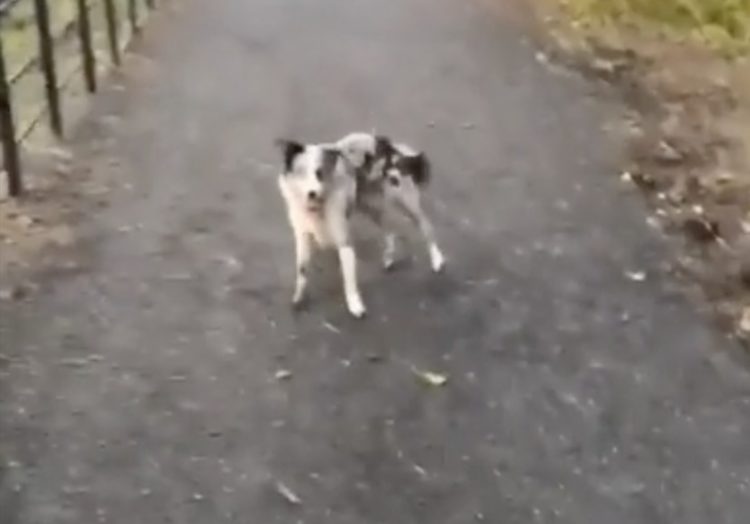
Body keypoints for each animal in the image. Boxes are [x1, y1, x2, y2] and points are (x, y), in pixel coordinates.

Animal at [275, 133, 445, 318]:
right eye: (301, 172)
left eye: (319, 173)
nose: (311, 193)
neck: (319, 204)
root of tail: (393, 148)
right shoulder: (303, 236)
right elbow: (302, 270)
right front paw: (298, 297)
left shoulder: (344, 240)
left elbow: (349, 280)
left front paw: (355, 305)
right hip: (369, 206)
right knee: (390, 229)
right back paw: (389, 258)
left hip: (404, 202)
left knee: (426, 226)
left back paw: (437, 259)